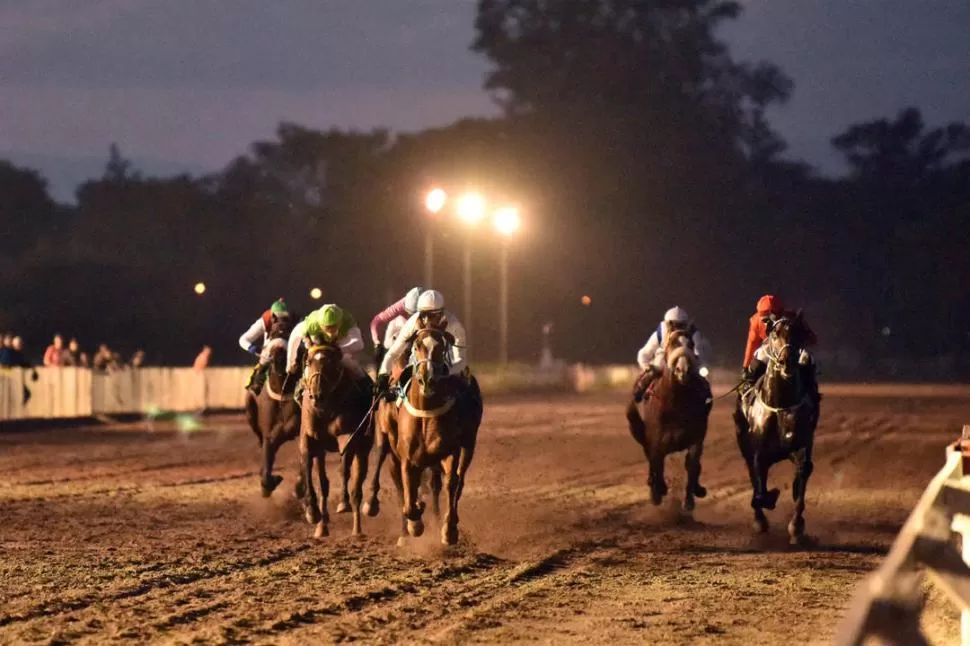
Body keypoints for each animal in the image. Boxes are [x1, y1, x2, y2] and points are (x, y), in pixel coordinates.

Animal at [296, 346, 372, 540]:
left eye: (331, 364)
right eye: (308, 362)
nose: (316, 395)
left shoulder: (346, 434)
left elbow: (344, 468)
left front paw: (343, 503)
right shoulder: (310, 438)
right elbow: (308, 468)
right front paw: (312, 511)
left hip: (364, 447)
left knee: (357, 487)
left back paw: (357, 529)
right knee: (325, 484)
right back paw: (322, 527)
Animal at [368, 330, 482, 548]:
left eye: (441, 347)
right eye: (417, 345)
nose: (427, 378)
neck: (426, 414)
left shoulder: (449, 451)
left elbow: (451, 483)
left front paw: (448, 530)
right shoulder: (406, 457)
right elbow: (407, 494)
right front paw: (414, 524)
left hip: (469, 444)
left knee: (457, 481)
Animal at [624, 332, 708, 512]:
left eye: (691, 344)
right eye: (672, 344)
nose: (682, 370)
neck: (675, 404)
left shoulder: (696, 439)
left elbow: (692, 465)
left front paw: (689, 501)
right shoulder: (656, 440)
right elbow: (657, 463)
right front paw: (656, 492)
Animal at [732, 312, 816, 544]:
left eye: (799, 332)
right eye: (775, 333)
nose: (787, 361)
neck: (780, 406)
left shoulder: (801, 447)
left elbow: (802, 476)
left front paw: (796, 526)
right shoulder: (759, 452)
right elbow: (760, 488)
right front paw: (764, 509)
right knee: (753, 476)